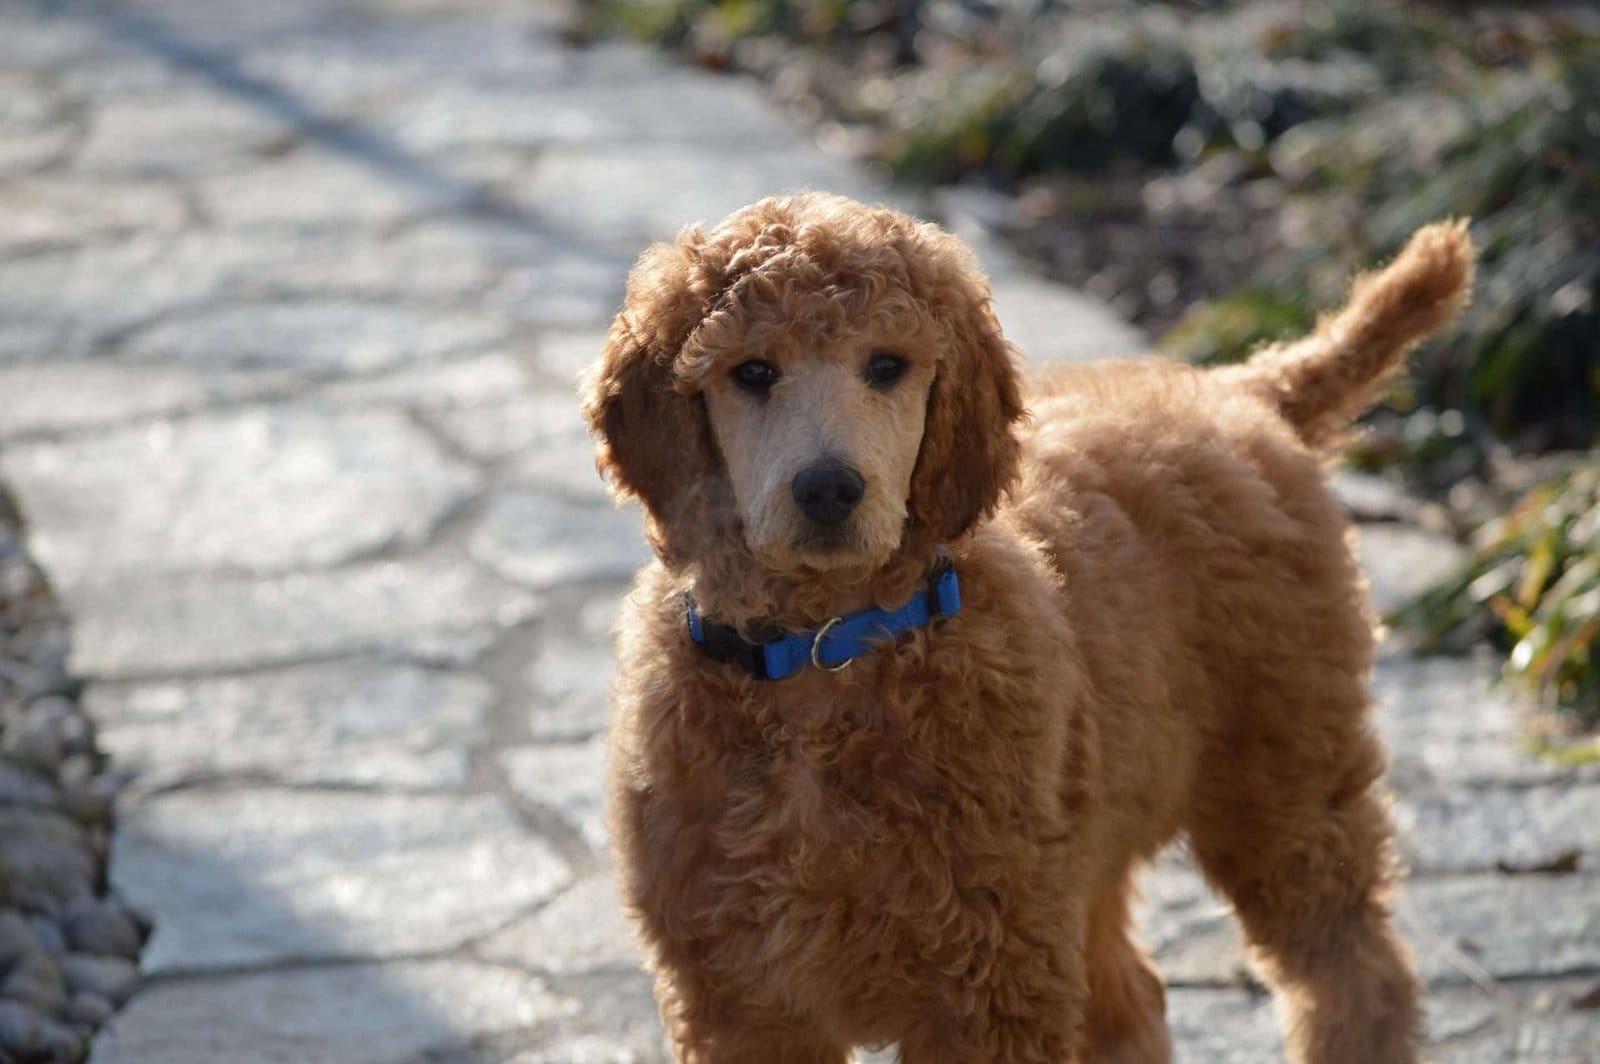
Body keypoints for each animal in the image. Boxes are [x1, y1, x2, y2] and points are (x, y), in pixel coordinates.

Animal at [585, 192, 1472, 1062]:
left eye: (887, 366)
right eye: (753, 372)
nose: (830, 488)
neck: (824, 649)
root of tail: (1243, 392)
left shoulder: (991, 978)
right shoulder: (739, 993)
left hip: (1285, 770)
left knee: (1353, 966)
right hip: (1092, 839)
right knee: (1133, 1000)